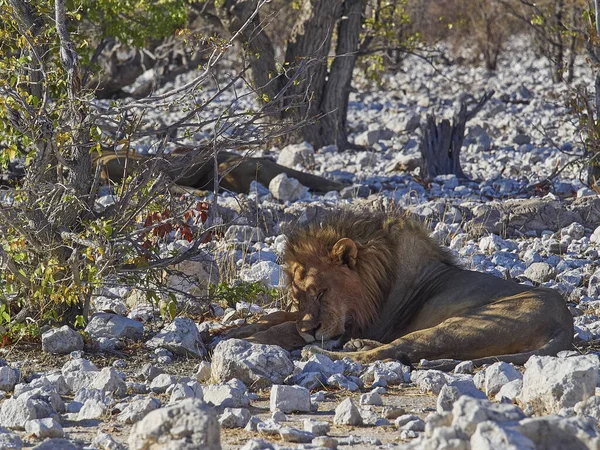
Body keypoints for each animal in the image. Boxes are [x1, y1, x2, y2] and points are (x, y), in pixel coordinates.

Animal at [227, 207, 576, 366]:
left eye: (322, 292)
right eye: (298, 297)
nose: (310, 332)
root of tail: (566, 324)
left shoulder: (365, 323)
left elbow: (285, 328)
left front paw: (250, 340)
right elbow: (278, 317)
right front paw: (230, 330)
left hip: (463, 325)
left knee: (392, 352)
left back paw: (322, 352)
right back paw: (353, 345)